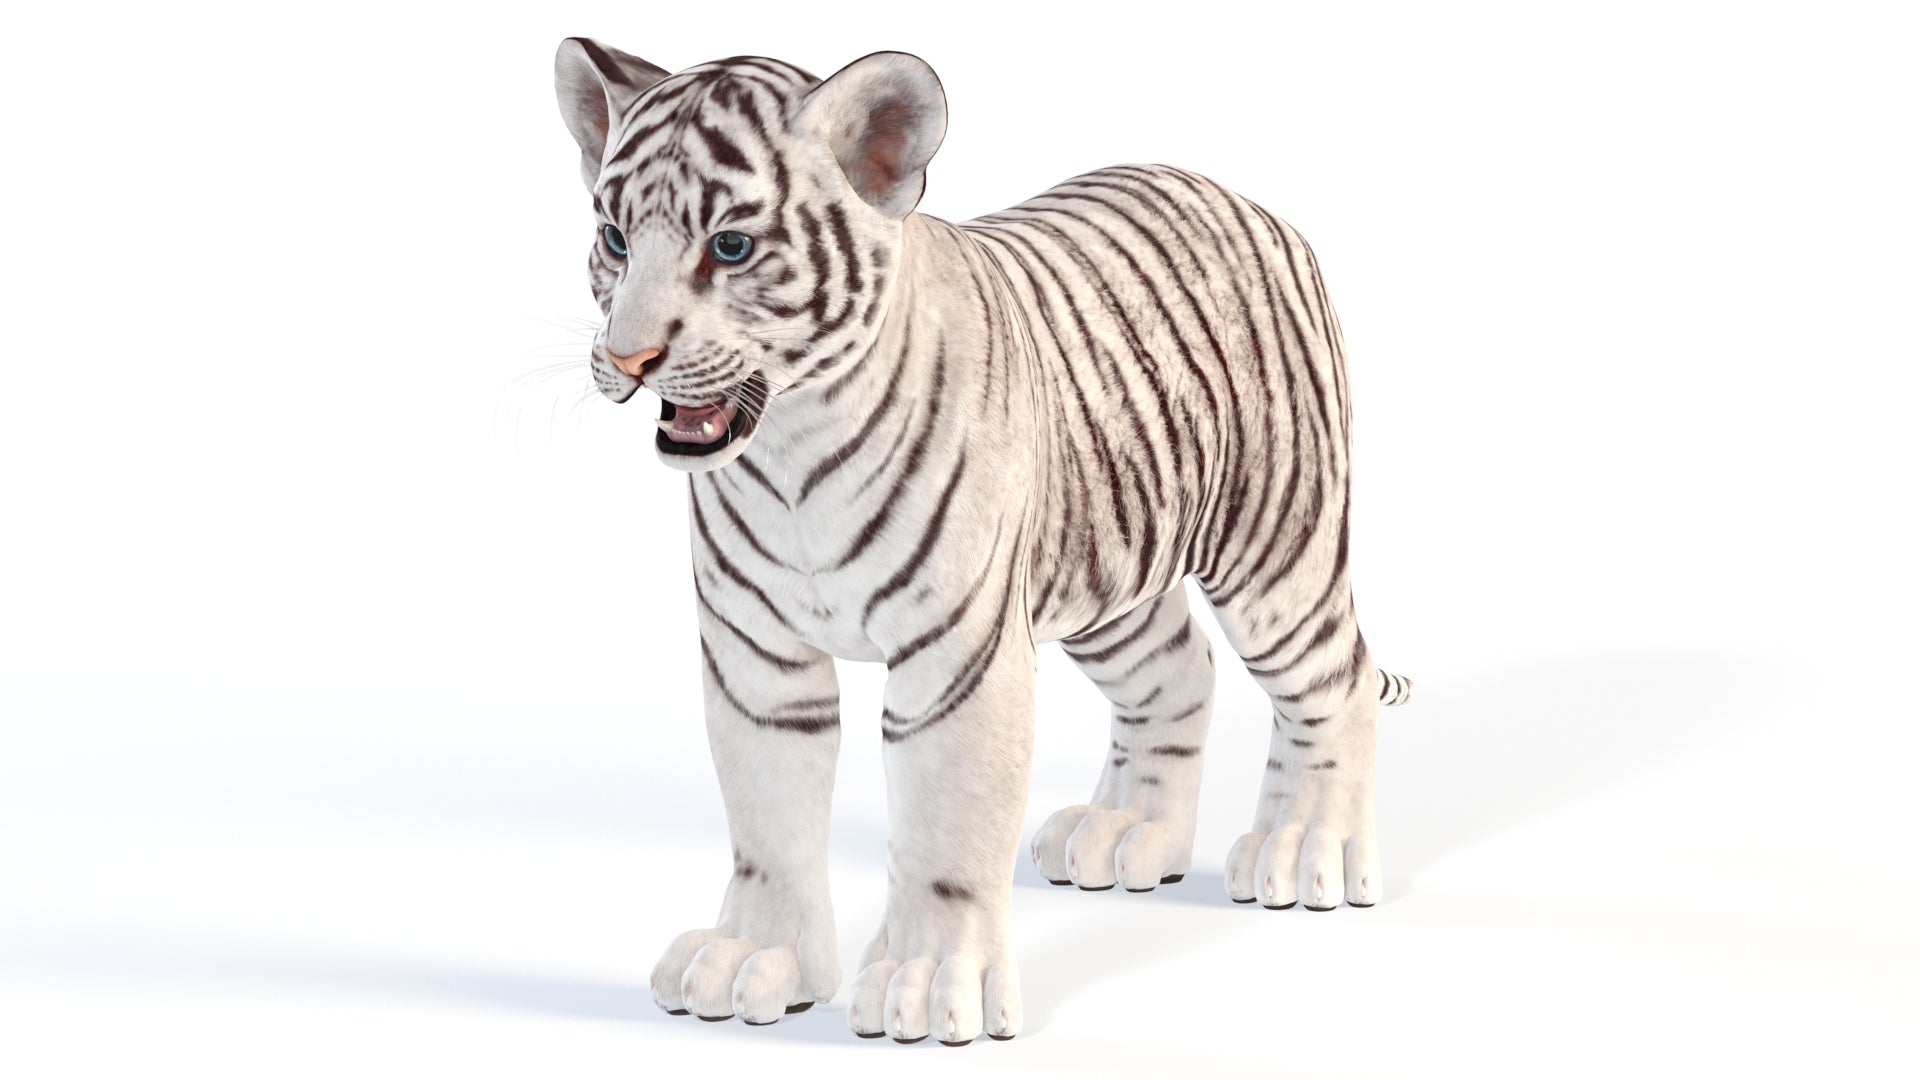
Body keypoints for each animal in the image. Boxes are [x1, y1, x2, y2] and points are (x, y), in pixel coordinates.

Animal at [550, 37, 1412, 1044]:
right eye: (615, 238)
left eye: (731, 246)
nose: (628, 356)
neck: (793, 451)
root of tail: (1239, 195)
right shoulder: (756, 660)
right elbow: (766, 821)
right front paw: (755, 957)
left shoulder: (957, 657)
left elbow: (947, 829)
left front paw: (928, 983)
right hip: (1105, 569)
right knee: (1181, 669)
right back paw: (1130, 835)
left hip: (1274, 543)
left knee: (1334, 683)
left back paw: (1305, 849)